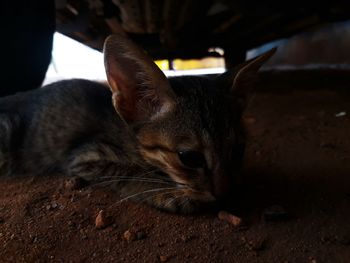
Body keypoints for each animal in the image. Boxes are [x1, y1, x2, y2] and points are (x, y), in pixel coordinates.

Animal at [0, 34, 274, 214]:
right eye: (189, 158)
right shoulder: (83, 156)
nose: (224, 193)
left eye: (238, 151)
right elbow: (129, 170)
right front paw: (164, 192)